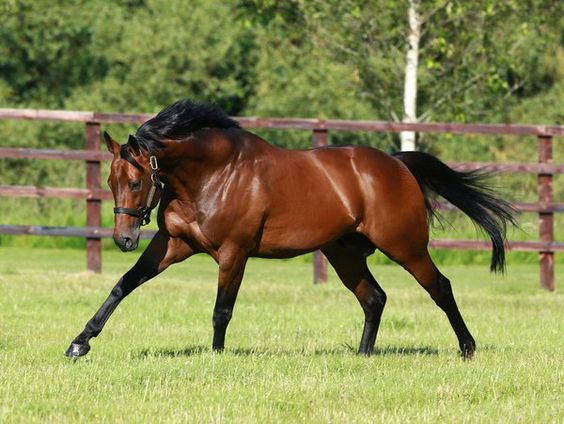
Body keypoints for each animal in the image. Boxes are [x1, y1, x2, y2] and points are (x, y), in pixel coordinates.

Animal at [64, 101, 512, 360]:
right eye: (111, 182)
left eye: (135, 181)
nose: (123, 239)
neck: (212, 174)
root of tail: (396, 164)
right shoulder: (174, 243)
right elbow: (124, 284)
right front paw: (80, 342)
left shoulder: (234, 252)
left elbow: (222, 309)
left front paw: (216, 357)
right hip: (343, 252)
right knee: (374, 298)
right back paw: (363, 356)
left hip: (405, 246)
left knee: (440, 287)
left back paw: (468, 348)